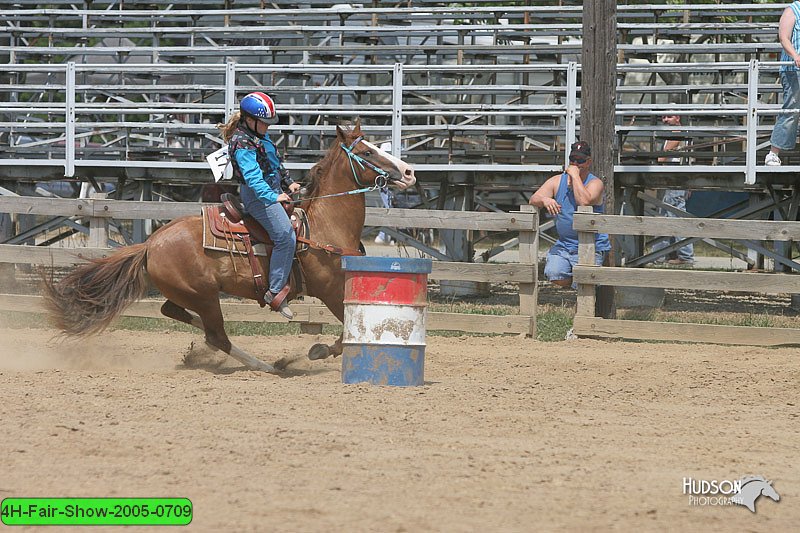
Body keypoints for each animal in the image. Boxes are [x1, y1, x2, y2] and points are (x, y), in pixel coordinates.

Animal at [43, 120, 416, 370]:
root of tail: (149, 244)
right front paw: (317, 351)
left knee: (177, 314)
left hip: (190, 295)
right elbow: (347, 329)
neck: (325, 226)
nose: (409, 172)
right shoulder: (332, 289)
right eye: (367, 152)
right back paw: (267, 366)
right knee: (217, 336)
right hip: (205, 295)